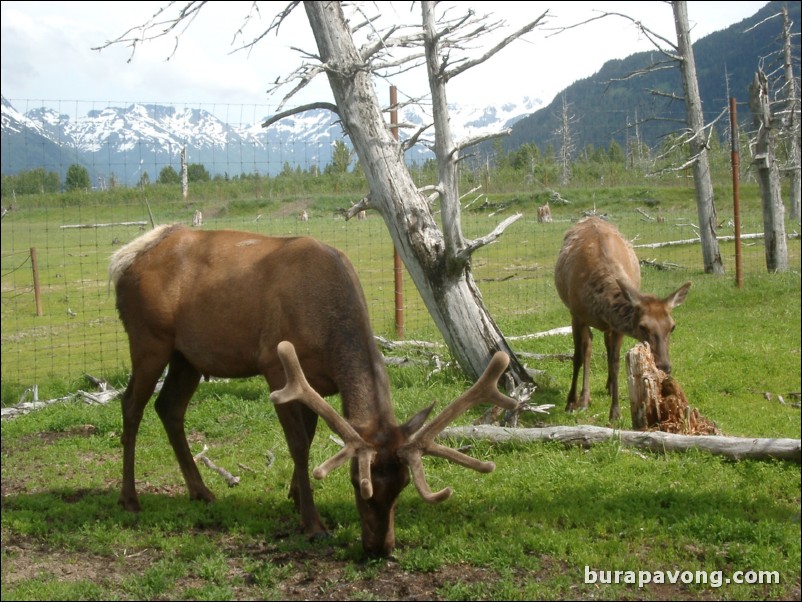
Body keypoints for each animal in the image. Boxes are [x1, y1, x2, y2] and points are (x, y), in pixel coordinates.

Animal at [108, 225, 520, 556]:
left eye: (403, 485)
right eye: (357, 482)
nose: (380, 548)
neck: (327, 325)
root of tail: (122, 261)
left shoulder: (316, 384)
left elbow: (308, 436)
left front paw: (294, 494)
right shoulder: (276, 367)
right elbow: (298, 445)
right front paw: (313, 522)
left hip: (188, 355)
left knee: (169, 407)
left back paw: (201, 491)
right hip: (149, 338)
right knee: (131, 405)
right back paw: (129, 498)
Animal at [552, 218, 692, 420]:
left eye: (672, 326)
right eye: (643, 326)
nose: (665, 366)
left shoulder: (617, 328)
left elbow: (616, 362)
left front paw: (615, 411)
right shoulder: (576, 314)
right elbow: (577, 356)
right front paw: (570, 403)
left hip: (607, 327)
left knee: (604, 346)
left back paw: (607, 387)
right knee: (588, 346)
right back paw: (584, 398)